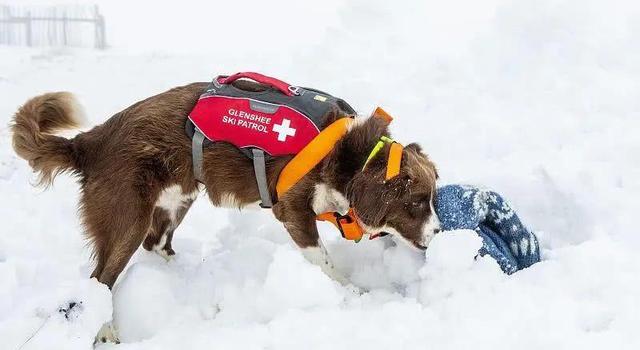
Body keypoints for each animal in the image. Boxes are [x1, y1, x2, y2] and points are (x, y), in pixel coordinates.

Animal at [11, 80, 440, 288]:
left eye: (433, 197)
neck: (351, 154)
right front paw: (352, 293)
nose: (438, 231)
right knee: (102, 278)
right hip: (127, 218)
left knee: (156, 244)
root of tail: (91, 141)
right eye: (418, 201)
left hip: (176, 199)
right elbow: (325, 263)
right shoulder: (293, 211)